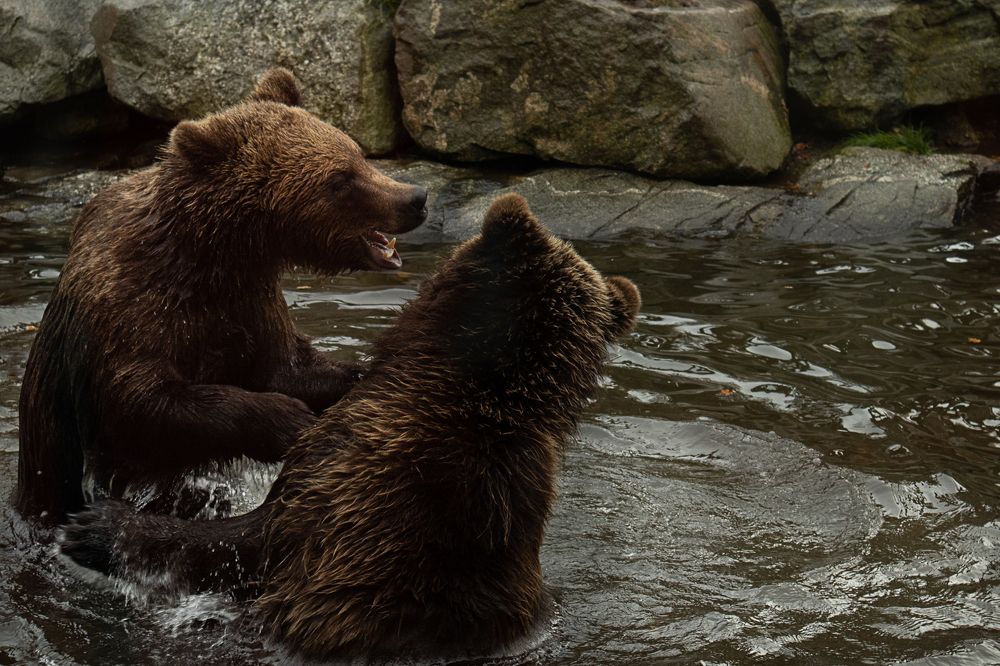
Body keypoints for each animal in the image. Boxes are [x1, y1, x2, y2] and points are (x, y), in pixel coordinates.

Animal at [15, 68, 428, 525]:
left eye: (357, 153)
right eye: (339, 179)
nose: (415, 197)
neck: (214, 253)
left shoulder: (250, 299)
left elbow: (287, 366)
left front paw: (360, 377)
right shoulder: (132, 306)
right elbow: (141, 403)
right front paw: (286, 418)